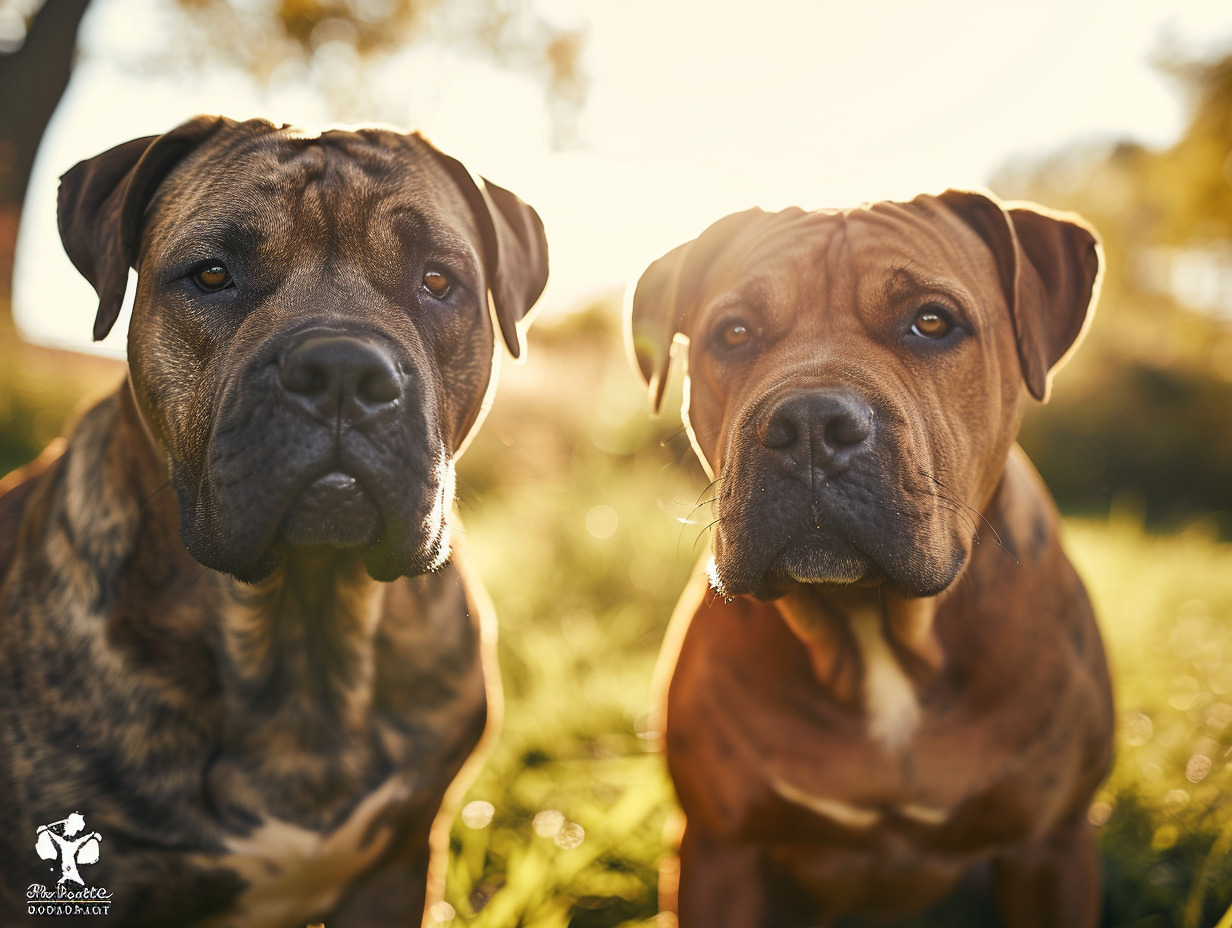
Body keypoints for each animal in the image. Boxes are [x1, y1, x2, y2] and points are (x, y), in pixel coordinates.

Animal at [635, 189, 1118, 926]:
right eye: (735, 333)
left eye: (931, 321)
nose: (808, 425)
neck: (875, 633)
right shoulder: (721, 850)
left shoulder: (1050, 847)